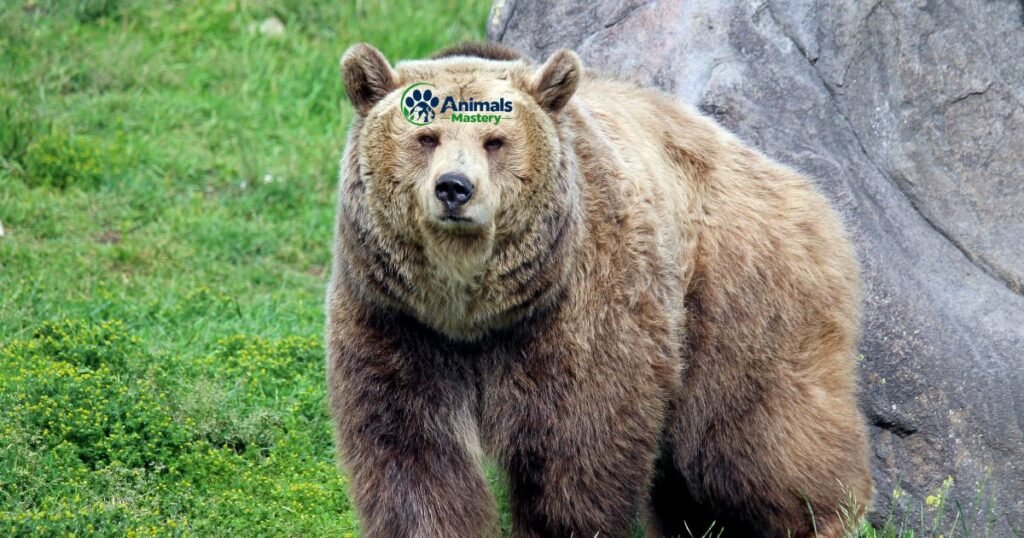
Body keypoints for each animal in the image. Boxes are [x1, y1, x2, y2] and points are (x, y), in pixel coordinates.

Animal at [326, 41, 873, 538]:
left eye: (494, 140)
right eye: (427, 137)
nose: (455, 188)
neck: (473, 313)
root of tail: (804, 189)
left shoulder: (581, 307)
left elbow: (578, 443)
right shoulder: (397, 320)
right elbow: (412, 451)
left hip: (740, 295)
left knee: (757, 440)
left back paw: (827, 516)